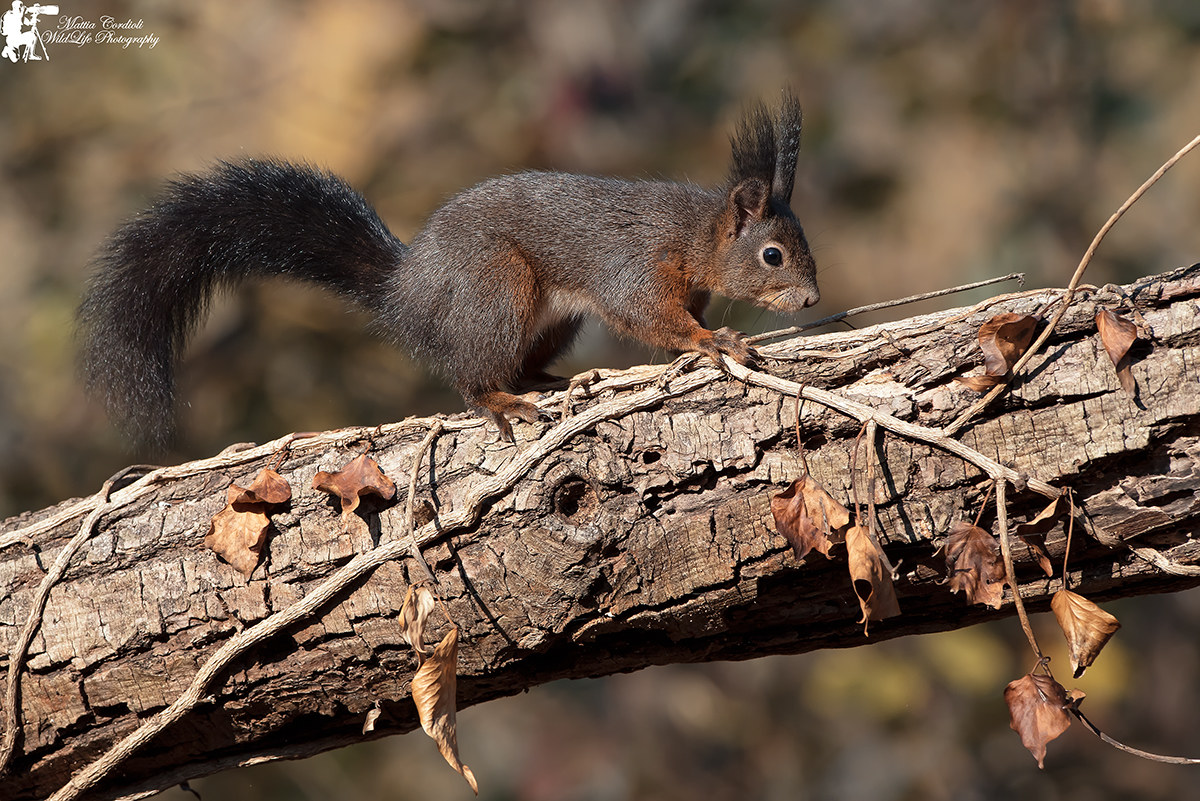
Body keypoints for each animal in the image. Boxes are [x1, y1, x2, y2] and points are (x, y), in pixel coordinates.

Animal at [77, 91, 818, 449]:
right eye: (772, 255)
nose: (812, 299)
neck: (696, 238)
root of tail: (409, 293)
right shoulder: (633, 264)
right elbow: (646, 313)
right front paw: (712, 340)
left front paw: (710, 332)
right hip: (498, 289)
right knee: (469, 376)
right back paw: (499, 400)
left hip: (549, 320)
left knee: (515, 363)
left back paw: (549, 379)